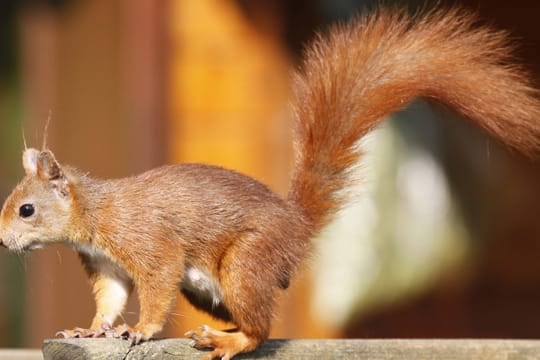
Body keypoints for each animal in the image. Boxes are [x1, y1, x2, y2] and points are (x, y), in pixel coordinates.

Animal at [1, 5, 540, 360]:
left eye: (26, 209)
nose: (4, 241)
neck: (96, 214)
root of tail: (297, 226)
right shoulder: (106, 265)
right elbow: (111, 300)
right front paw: (92, 330)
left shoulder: (147, 243)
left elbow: (155, 287)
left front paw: (142, 330)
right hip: (211, 289)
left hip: (246, 261)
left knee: (262, 329)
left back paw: (229, 340)